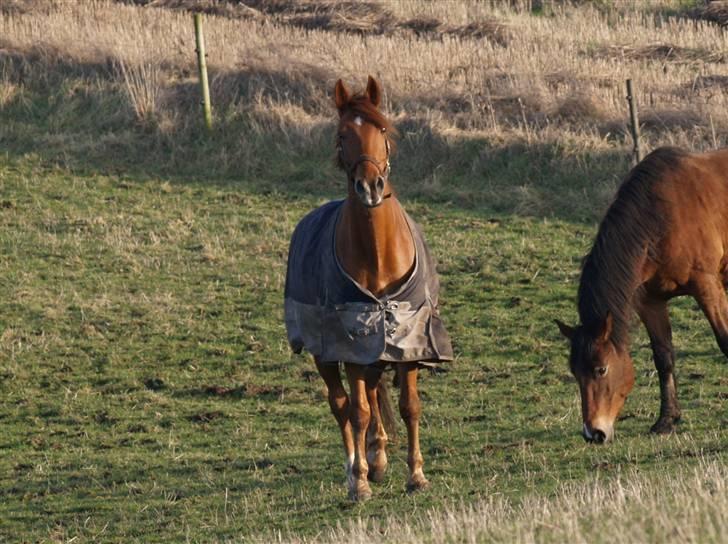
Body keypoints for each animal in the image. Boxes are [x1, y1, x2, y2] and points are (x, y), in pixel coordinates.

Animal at [282, 76, 450, 502]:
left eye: (383, 130)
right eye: (343, 134)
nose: (370, 187)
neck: (377, 253)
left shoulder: (409, 339)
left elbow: (409, 406)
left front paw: (416, 474)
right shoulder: (350, 342)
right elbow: (356, 410)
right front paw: (358, 482)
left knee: (373, 395)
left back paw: (378, 456)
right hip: (326, 354)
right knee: (341, 404)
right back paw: (356, 466)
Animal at [556, 147, 728, 444]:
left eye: (601, 369)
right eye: (574, 372)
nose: (593, 433)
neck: (663, 217)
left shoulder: (707, 286)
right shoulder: (650, 301)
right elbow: (663, 357)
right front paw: (667, 420)